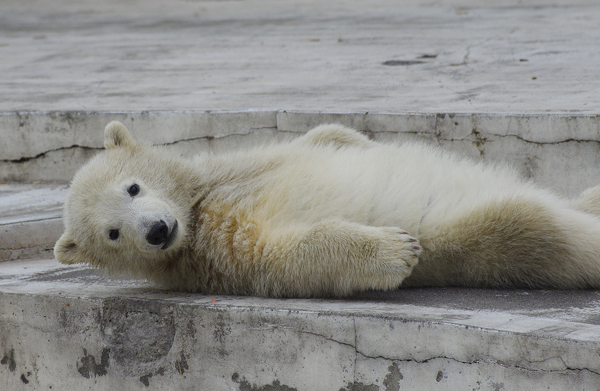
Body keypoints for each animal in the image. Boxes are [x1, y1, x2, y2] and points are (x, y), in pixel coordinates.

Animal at [55, 121, 600, 298]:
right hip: (477, 230)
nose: (156, 230)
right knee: (540, 228)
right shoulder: (217, 249)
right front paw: (394, 251)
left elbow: (327, 136)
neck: (197, 206)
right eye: (112, 234)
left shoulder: (244, 166)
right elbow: (286, 255)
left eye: (132, 187)